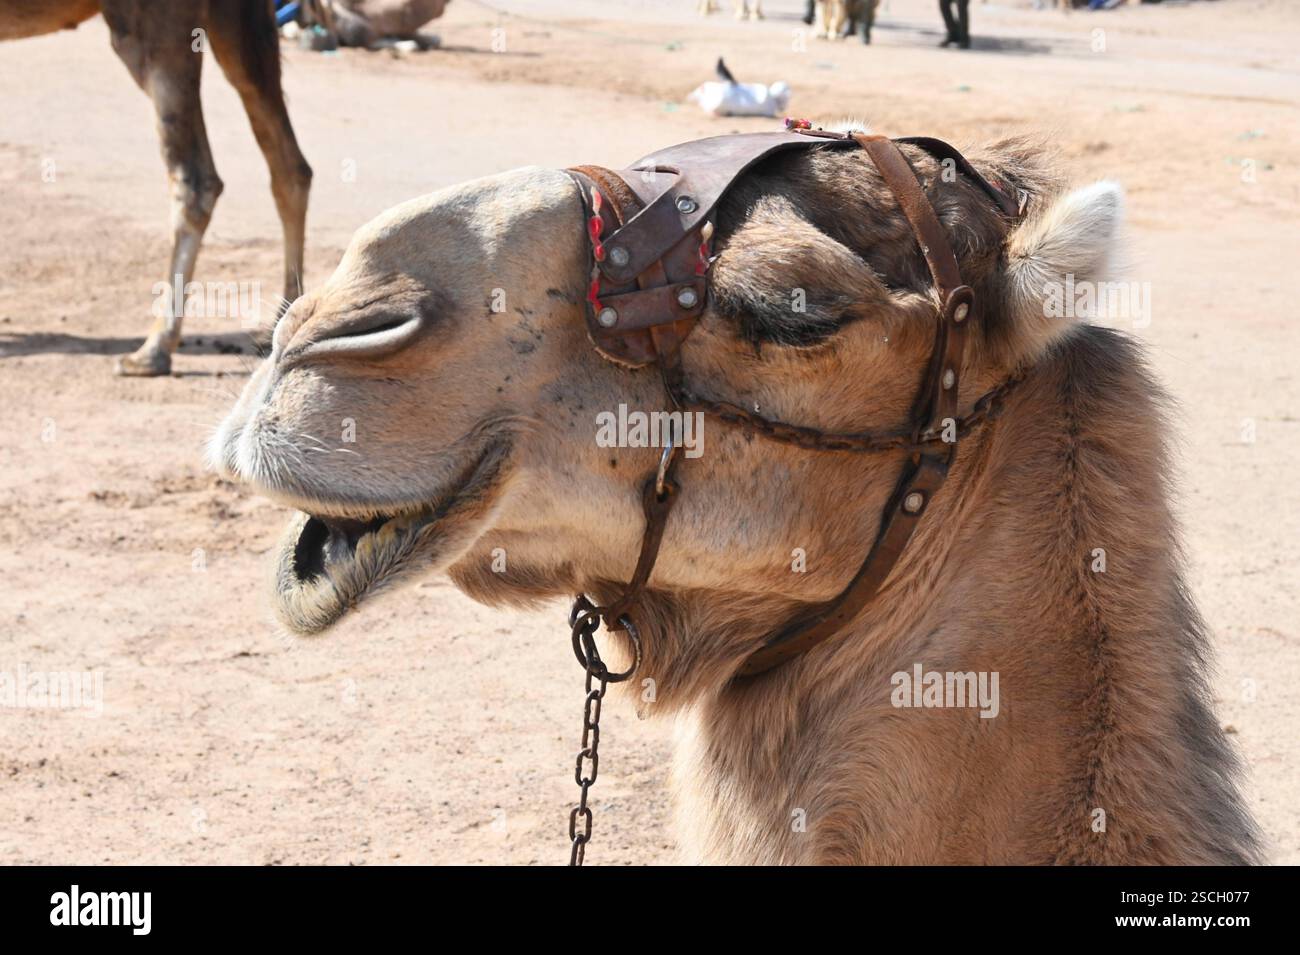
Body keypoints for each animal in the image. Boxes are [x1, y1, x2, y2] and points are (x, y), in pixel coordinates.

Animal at [1, 0, 311, 376]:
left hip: (155, 24)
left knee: (197, 178)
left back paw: (154, 349)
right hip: (238, 19)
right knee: (289, 165)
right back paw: (283, 321)